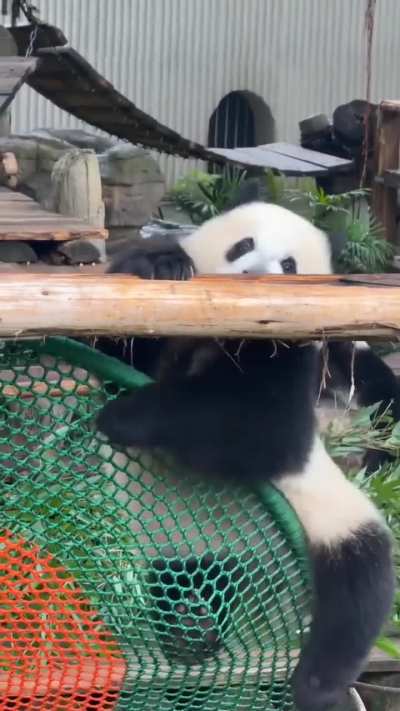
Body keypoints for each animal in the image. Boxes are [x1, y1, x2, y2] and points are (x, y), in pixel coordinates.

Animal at [97, 202, 395, 711]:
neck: (227, 336)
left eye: (290, 264)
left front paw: (124, 416)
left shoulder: (296, 356)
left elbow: (264, 429)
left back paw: (314, 684)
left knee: (358, 584)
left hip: (329, 521)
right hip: (160, 547)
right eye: (243, 245)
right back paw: (187, 636)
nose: (254, 275)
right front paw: (161, 264)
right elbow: (114, 353)